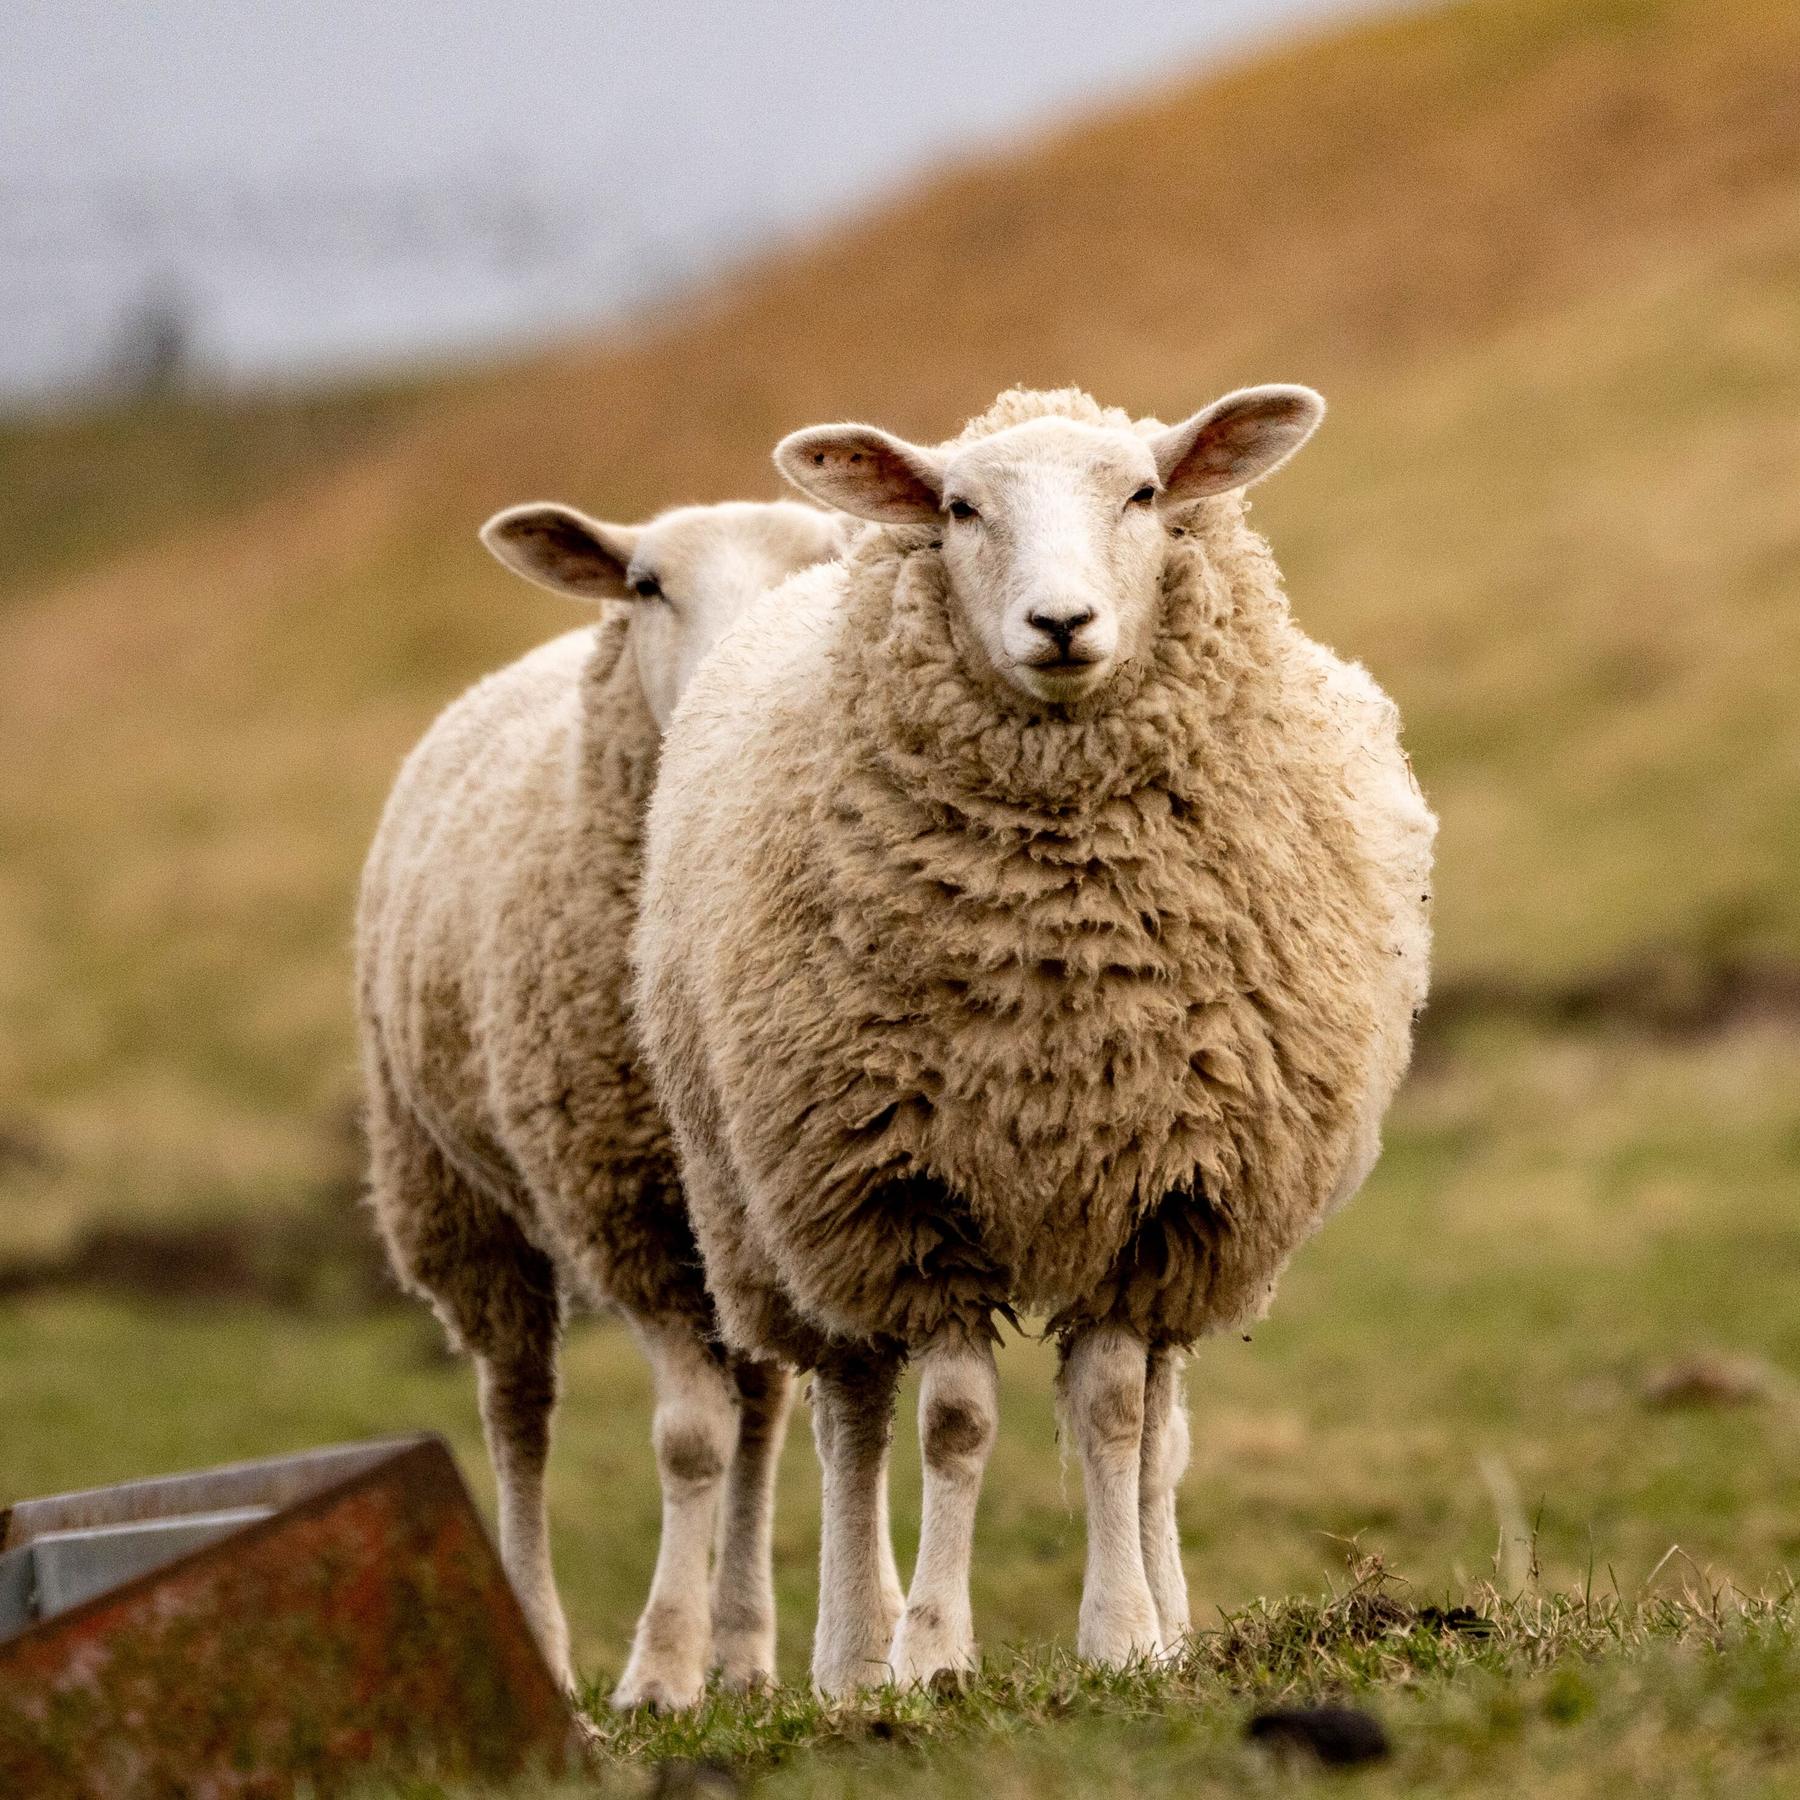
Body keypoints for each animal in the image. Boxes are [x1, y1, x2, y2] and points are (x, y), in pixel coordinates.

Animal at [357, 496, 847, 1709]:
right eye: (645, 584)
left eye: (824, 564)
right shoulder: (618, 1205)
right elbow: (687, 1440)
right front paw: (658, 1671)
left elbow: (741, 1425)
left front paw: (713, 1653)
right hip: (451, 1198)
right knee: (519, 1411)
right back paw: (540, 1635)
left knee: (760, 1403)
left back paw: (744, 1648)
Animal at [633, 386, 1436, 1694]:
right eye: (961, 508)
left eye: (1146, 495)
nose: (1062, 623)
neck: (1058, 938)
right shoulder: (907, 1190)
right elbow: (952, 1422)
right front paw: (931, 1654)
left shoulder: (1158, 1184)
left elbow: (1113, 1414)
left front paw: (1126, 1640)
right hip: (795, 1206)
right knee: (852, 1414)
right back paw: (851, 1654)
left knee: (1155, 1424)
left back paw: (1168, 1609)